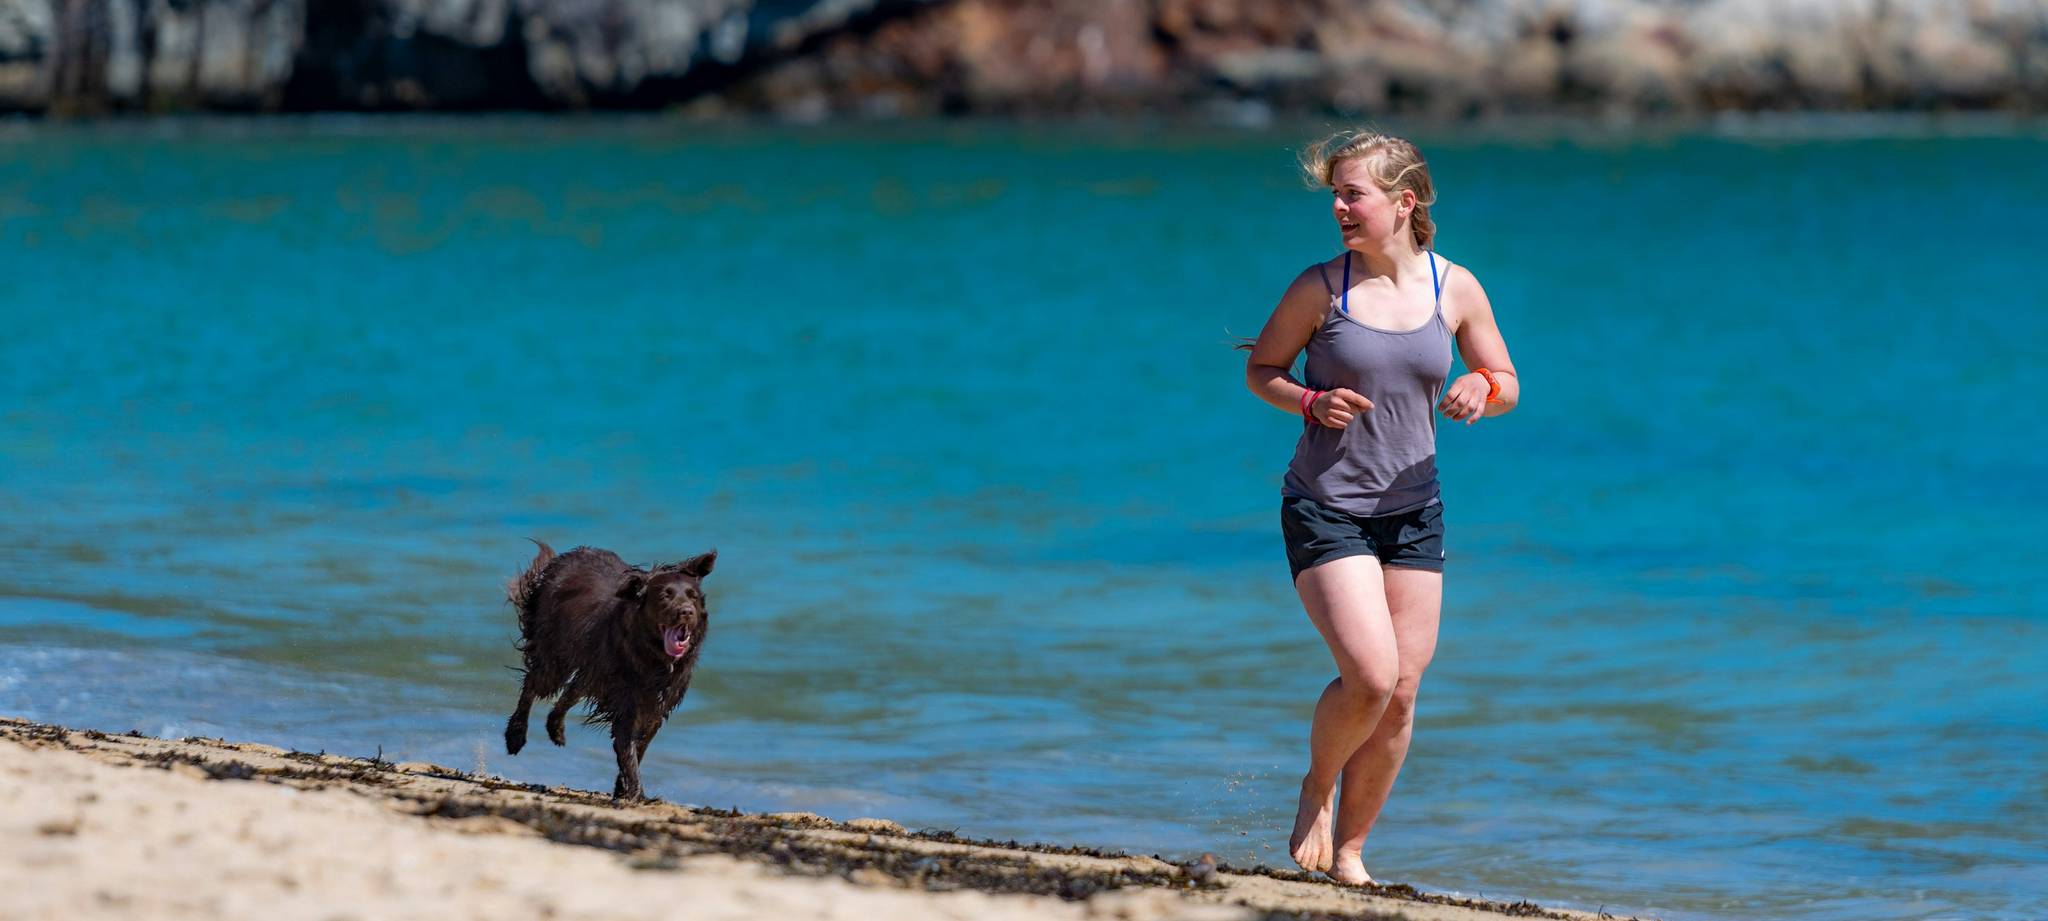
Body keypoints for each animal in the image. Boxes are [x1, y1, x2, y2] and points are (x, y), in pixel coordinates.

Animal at [502, 540, 715, 800]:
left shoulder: (657, 706)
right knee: (533, 684)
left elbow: (640, 746)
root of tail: (566, 557)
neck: (653, 656)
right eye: (666, 595)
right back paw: (515, 735)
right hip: (555, 659)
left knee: (572, 689)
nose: (686, 611)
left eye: (693, 596)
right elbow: (627, 749)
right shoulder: (627, 702)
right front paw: (635, 793)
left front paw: (624, 789)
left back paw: (555, 728)